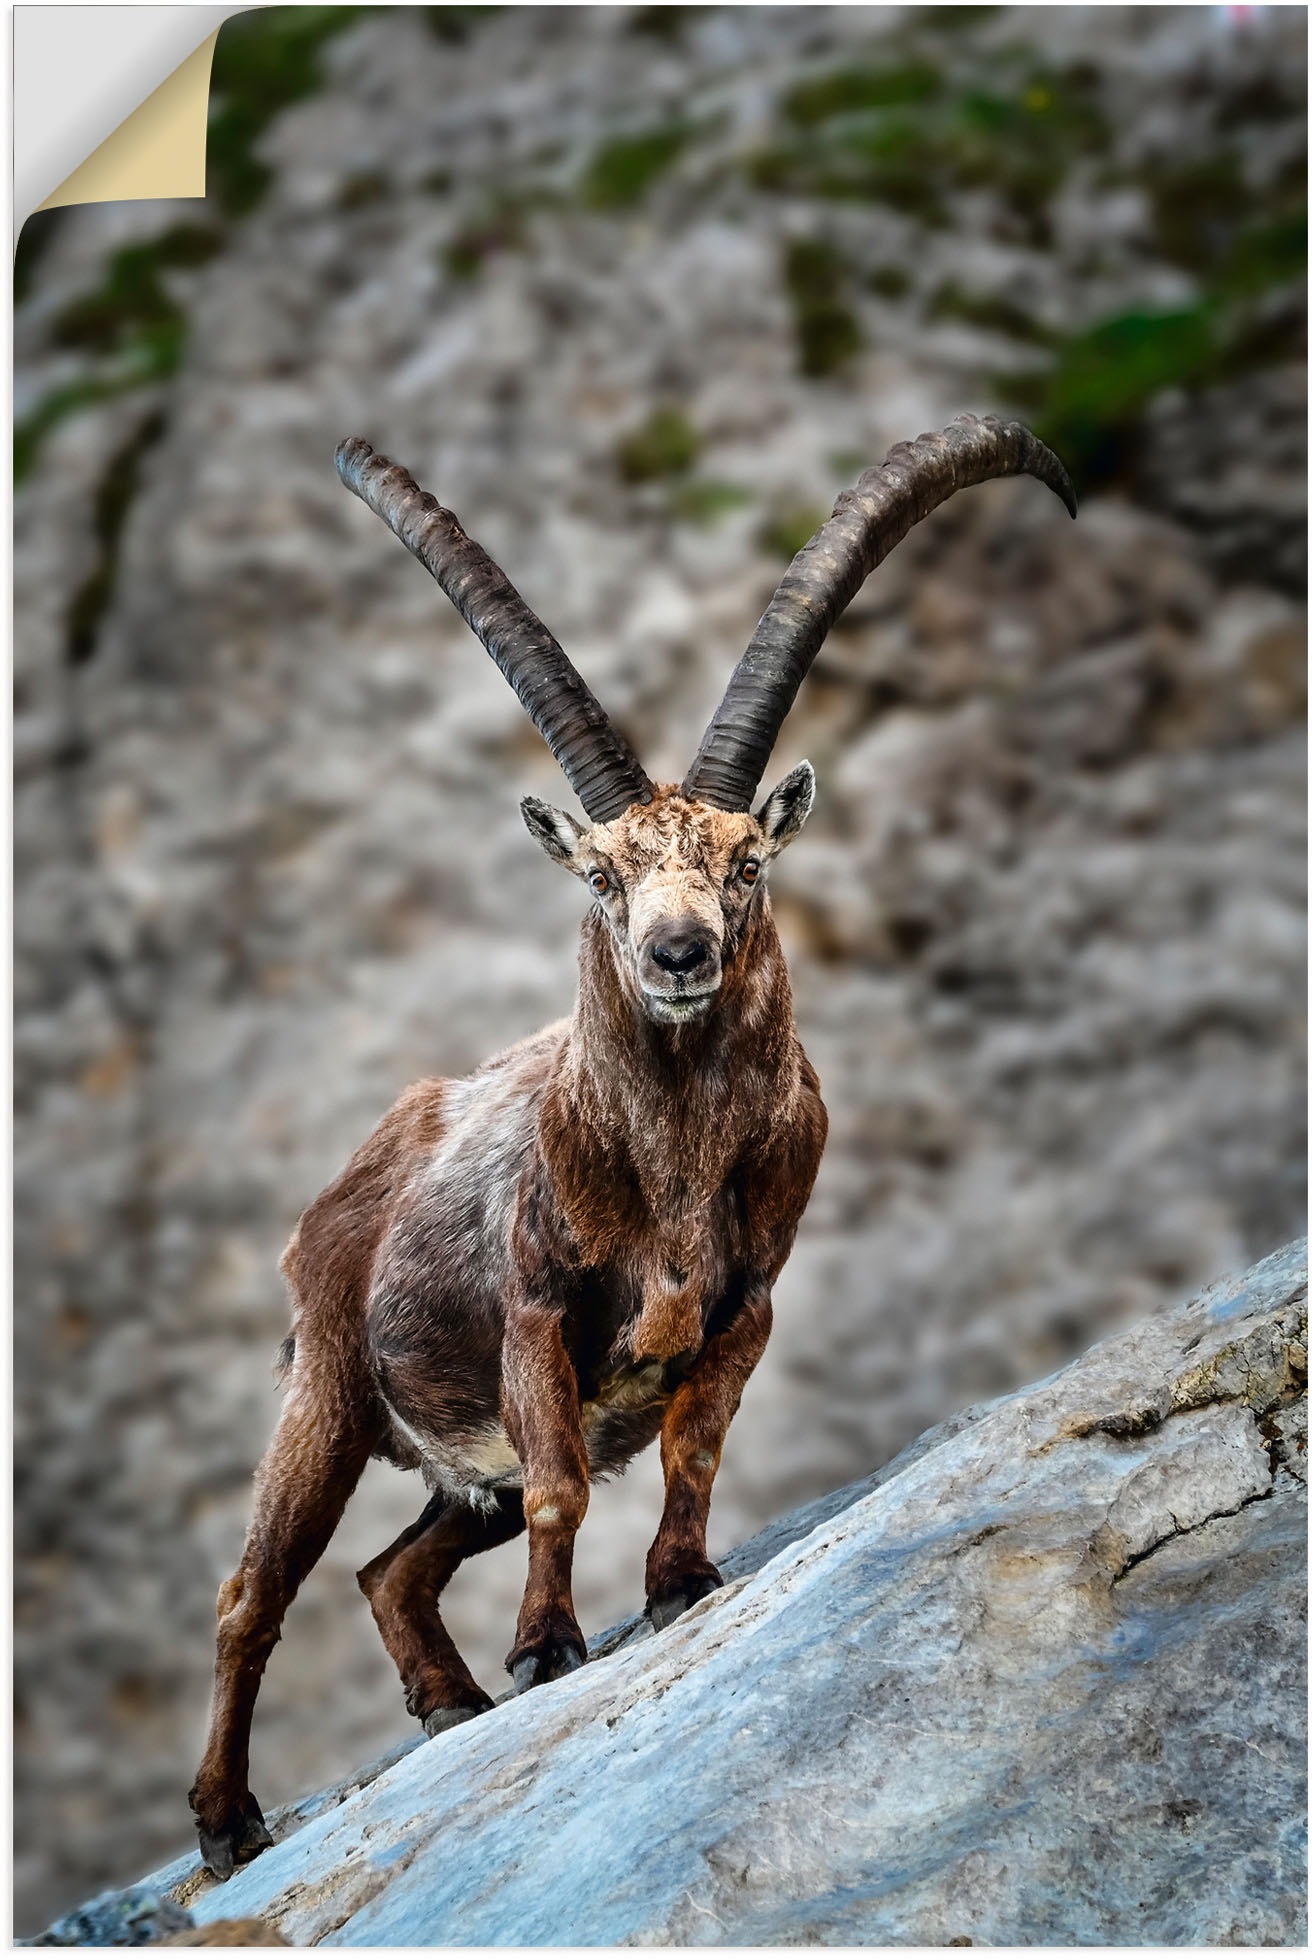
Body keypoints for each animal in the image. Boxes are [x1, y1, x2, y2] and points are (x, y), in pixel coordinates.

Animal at [189, 414, 1075, 1876]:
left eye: (746, 864)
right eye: (604, 873)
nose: (676, 953)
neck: (664, 1172)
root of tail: (345, 1185)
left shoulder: (746, 1304)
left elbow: (692, 1450)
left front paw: (677, 1587)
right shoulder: (538, 1318)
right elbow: (562, 1488)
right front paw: (549, 1649)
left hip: (454, 1476)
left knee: (389, 1565)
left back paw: (447, 1702)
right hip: (326, 1386)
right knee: (252, 1591)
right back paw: (226, 1820)